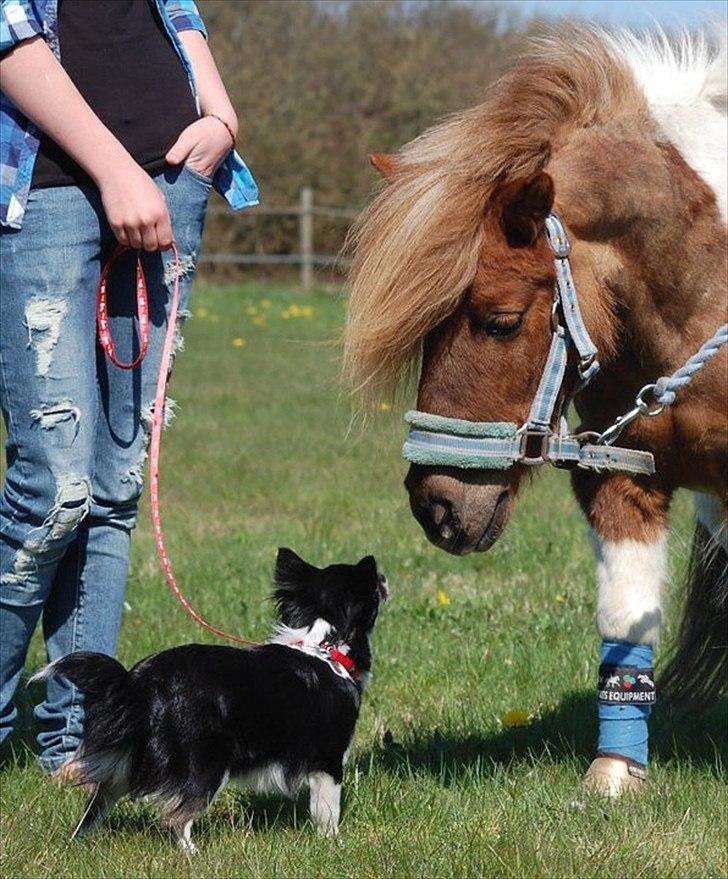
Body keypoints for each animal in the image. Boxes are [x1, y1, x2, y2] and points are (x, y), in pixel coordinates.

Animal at [35, 552, 386, 852]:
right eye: (376, 586)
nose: (384, 577)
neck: (323, 645)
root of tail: (143, 684)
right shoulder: (329, 762)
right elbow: (328, 811)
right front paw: (334, 844)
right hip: (206, 765)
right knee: (176, 817)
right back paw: (192, 853)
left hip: (127, 763)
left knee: (96, 806)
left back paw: (77, 843)